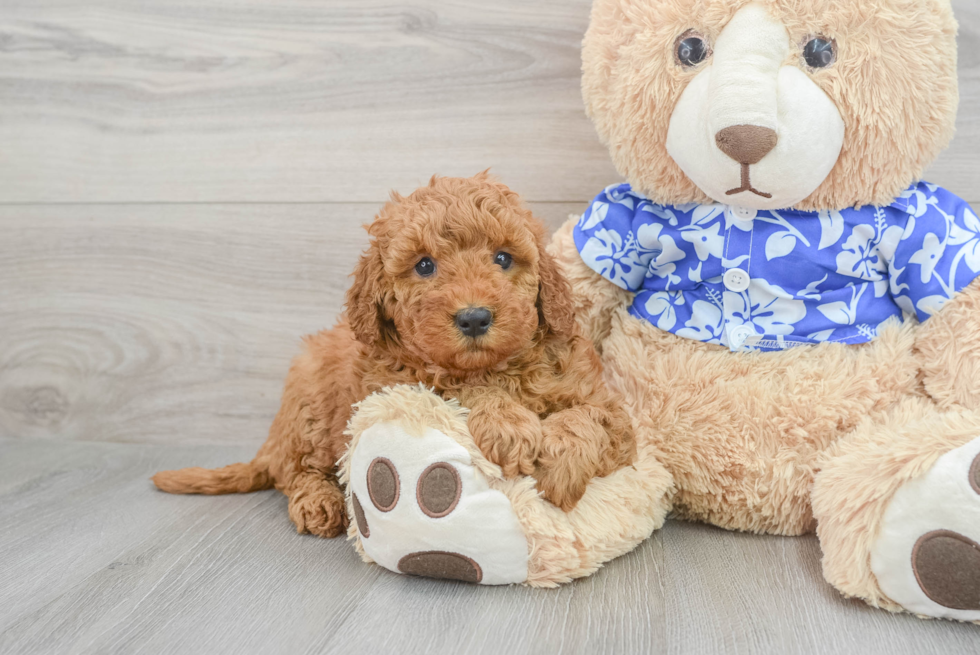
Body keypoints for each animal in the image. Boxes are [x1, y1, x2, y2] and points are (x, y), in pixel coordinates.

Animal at [149, 173, 632, 540]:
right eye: (424, 265)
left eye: (503, 258)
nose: (474, 318)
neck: (494, 367)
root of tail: (270, 444)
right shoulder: (397, 383)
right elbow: (458, 391)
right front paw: (508, 425)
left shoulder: (614, 416)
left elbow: (590, 419)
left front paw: (561, 467)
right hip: (309, 404)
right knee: (299, 472)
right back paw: (319, 505)